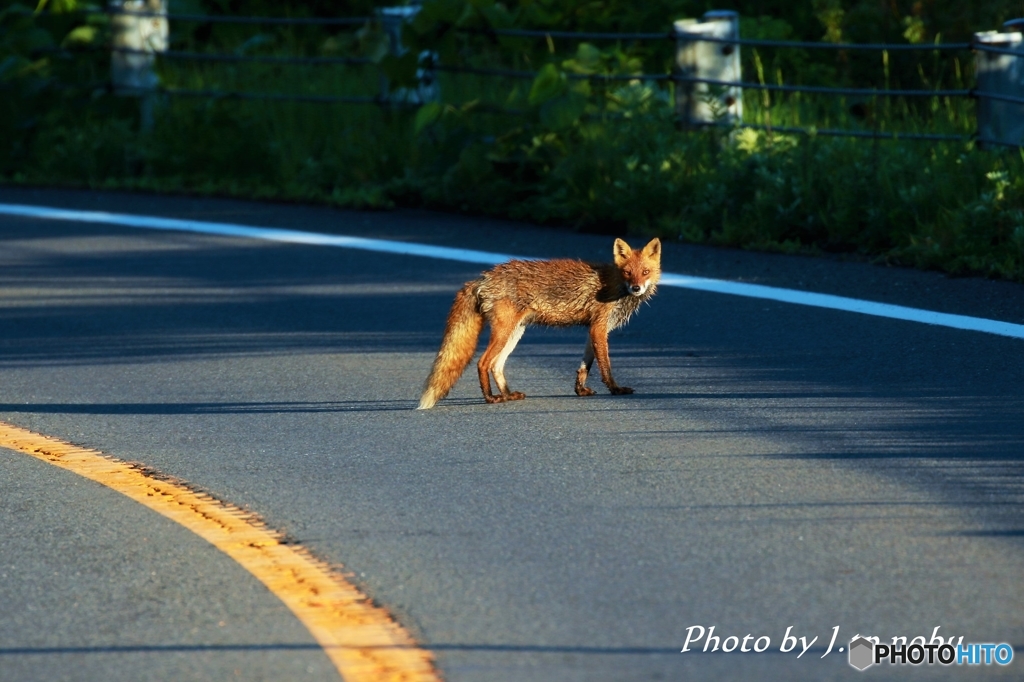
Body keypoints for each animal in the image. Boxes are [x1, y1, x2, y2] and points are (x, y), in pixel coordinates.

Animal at [417, 237, 663, 409]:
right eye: (627, 272)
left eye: (645, 272)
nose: (636, 288)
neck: (614, 285)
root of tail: (482, 277)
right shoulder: (599, 328)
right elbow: (606, 366)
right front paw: (615, 389)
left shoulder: (592, 330)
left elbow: (585, 365)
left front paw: (580, 390)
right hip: (504, 332)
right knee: (483, 363)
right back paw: (491, 398)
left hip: (515, 333)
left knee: (497, 365)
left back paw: (508, 394)